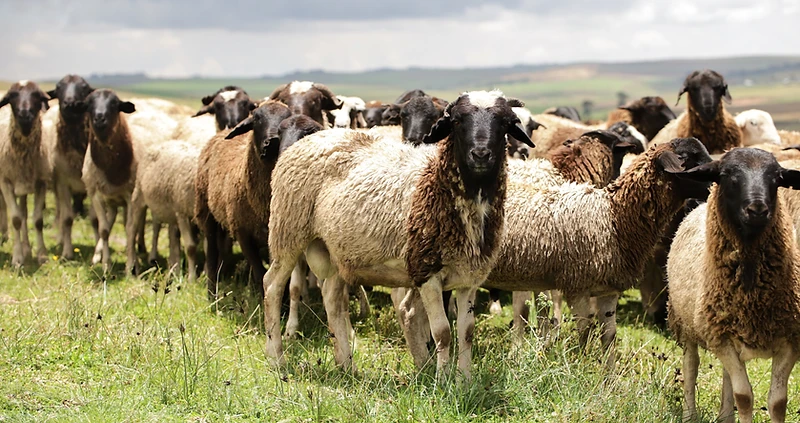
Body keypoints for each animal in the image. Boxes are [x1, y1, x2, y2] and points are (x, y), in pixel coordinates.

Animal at [0, 81, 52, 266]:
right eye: (12, 96)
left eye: (36, 95)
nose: (24, 114)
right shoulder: (5, 182)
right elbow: (15, 219)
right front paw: (17, 258)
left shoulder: (41, 182)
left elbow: (37, 220)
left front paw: (41, 255)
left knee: (23, 212)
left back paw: (26, 247)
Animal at [194, 100, 293, 298]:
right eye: (256, 118)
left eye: (287, 119)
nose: (273, 142)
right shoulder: (242, 232)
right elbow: (259, 272)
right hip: (207, 213)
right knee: (212, 254)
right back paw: (212, 292)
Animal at [261, 91, 535, 378]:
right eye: (457, 121)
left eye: (505, 123)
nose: (480, 154)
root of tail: (309, 140)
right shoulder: (426, 271)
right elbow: (443, 332)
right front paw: (443, 380)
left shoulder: (469, 276)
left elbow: (466, 332)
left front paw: (465, 379)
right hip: (288, 228)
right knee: (273, 285)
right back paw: (276, 357)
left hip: (336, 248)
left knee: (332, 298)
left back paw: (347, 364)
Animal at [667, 148, 800, 423]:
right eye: (727, 176)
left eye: (777, 178)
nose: (757, 209)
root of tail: (699, 205)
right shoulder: (720, 338)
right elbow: (745, 397)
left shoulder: (790, 339)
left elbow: (777, 402)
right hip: (686, 324)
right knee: (691, 366)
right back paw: (689, 414)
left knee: (728, 374)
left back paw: (726, 415)